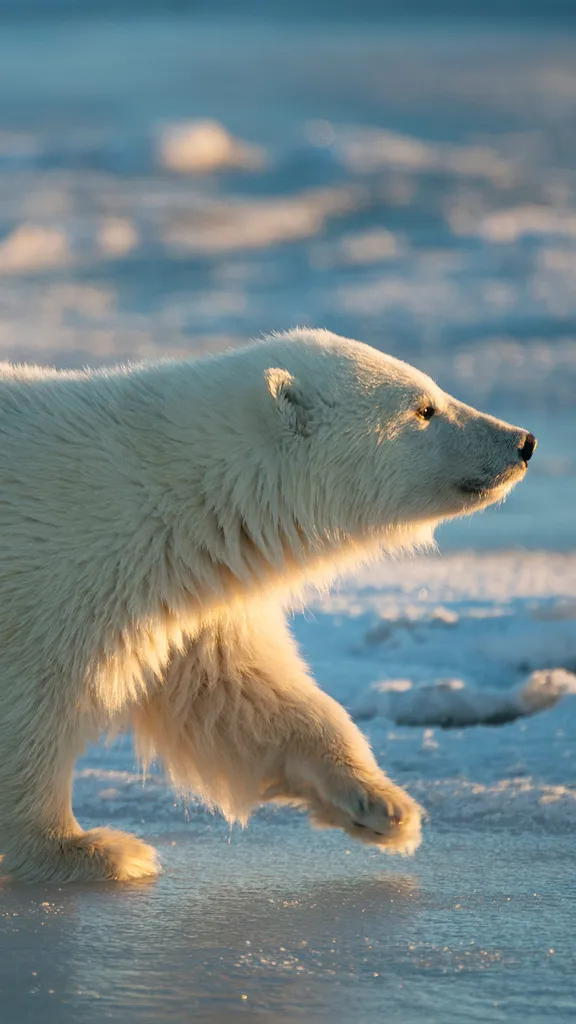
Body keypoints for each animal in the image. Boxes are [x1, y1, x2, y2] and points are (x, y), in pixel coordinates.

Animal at [0, 329, 536, 883]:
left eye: (433, 391)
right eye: (424, 408)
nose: (523, 442)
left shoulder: (191, 594)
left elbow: (238, 695)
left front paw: (382, 806)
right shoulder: (64, 576)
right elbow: (32, 707)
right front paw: (87, 850)